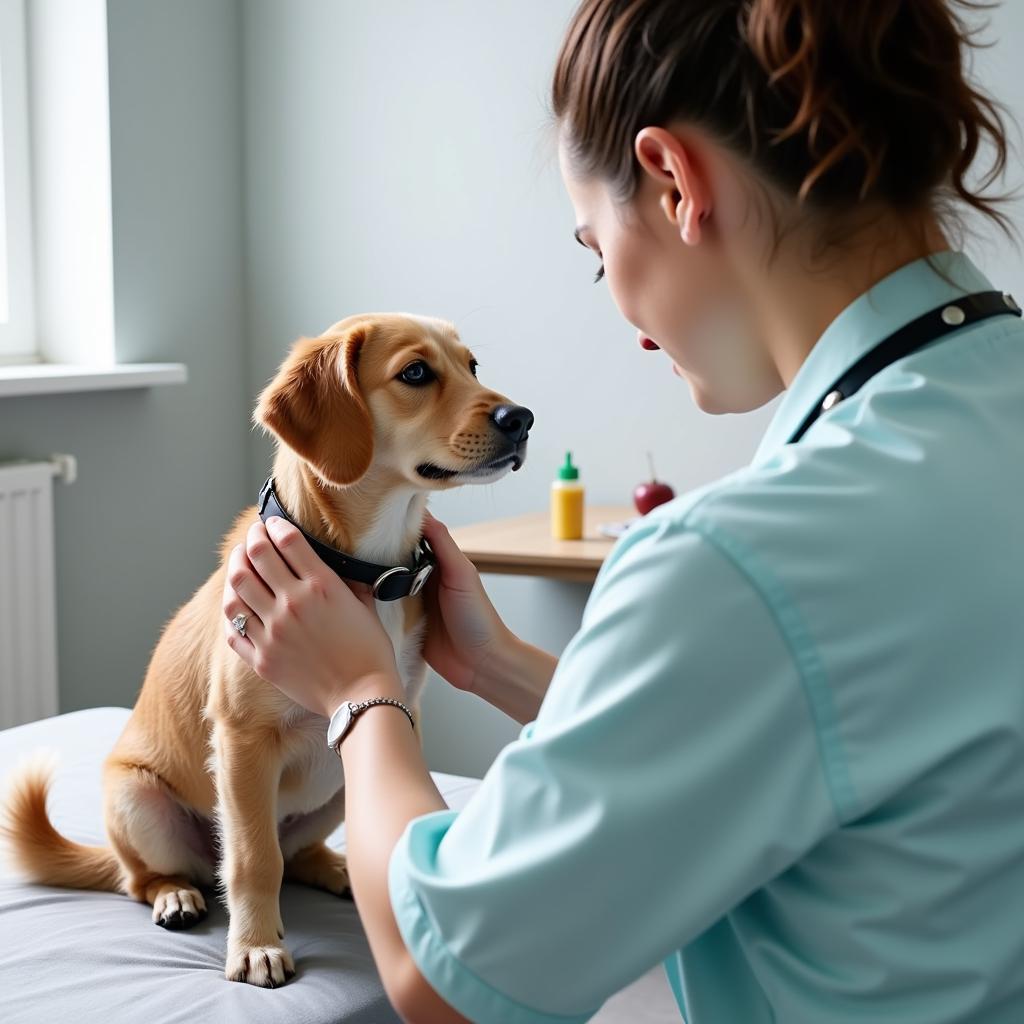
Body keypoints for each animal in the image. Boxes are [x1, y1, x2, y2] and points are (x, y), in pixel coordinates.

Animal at [4, 311, 536, 983]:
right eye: (416, 373)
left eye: (472, 367)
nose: (523, 418)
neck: (368, 568)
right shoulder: (242, 742)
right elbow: (253, 861)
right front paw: (255, 946)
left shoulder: (403, 717)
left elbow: (280, 857)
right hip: (137, 800)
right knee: (150, 877)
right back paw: (175, 894)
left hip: (338, 785)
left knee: (298, 851)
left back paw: (336, 867)